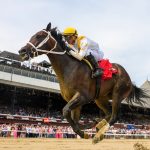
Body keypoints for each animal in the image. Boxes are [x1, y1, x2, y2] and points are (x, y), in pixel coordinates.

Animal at [18, 22, 149, 144]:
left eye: (39, 36)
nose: (22, 51)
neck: (70, 68)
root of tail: (129, 79)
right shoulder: (74, 100)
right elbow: (73, 120)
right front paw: (86, 128)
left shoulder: (83, 96)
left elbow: (65, 111)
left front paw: (84, 131)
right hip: (100, 98)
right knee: (108, 113)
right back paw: (98, 126)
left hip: (117, 94)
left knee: (114, 116)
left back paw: (97, 135)